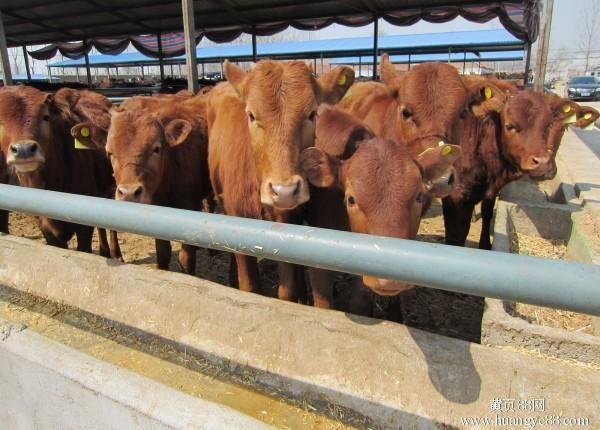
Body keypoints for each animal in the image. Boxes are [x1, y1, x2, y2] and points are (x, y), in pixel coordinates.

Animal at [207, 59, 354, 298]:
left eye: (312, 114)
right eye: (251, 115)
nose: (284, 191)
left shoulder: (287, 223)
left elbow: (287, 288)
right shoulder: (237, 215)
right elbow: (249, 285)